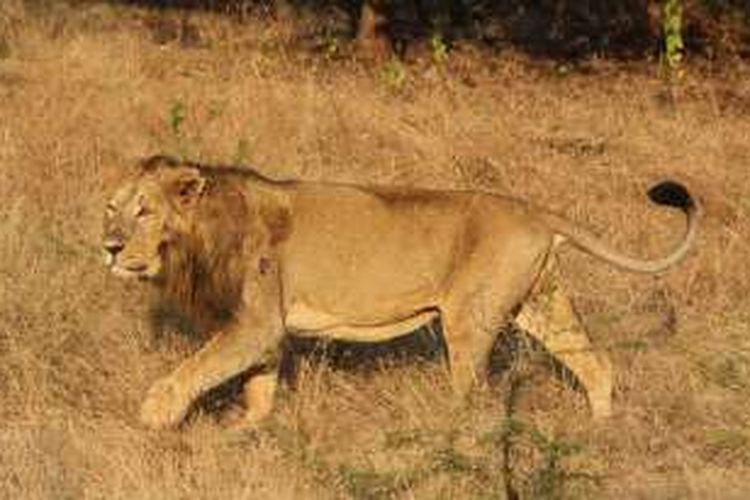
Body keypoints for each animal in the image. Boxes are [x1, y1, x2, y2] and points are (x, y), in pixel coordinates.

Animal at [103, 154, 704, 428]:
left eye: (144, 211)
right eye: (111, 208)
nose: (108, 246)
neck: (198, 236)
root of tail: (534, 210)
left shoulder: (255, 323)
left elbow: (193, 369)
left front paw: (155, 417)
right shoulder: (263, 329)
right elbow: (259, 384)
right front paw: (248, 431)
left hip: (469, 318)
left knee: (470, 392)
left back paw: (449, 434)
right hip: (541, 303)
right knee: (597, 364)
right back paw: (600, 429)